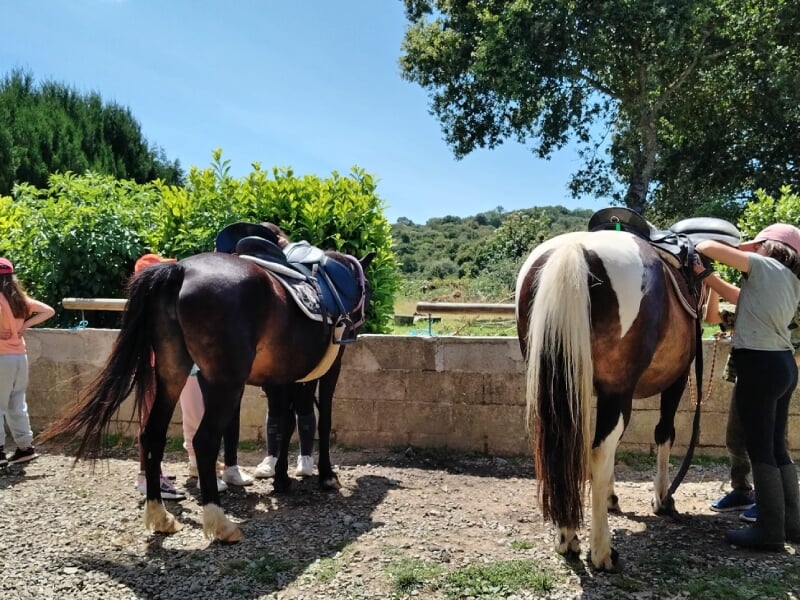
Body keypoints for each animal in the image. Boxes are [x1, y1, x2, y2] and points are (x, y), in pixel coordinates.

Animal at [40, 248, 373, 543]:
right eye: (367, 287)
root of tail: (180, 270)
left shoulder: (285, 375)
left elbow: (286, 423)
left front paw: (281, 479)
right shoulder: (330, 368)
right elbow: (323, 419)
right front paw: (326, 475)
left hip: (172, 374)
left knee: (152, 434)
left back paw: (159, 517)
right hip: (225, 385)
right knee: (204, 440)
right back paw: (220, 523)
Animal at [515, 228, 707, 571]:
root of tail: (573, 249)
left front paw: (610, 497)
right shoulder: (676, 379)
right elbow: (663, 433)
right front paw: (662, 498)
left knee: (570, 447)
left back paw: (566, 538)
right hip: (618, 393)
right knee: (598, 453)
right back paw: (602, 551)